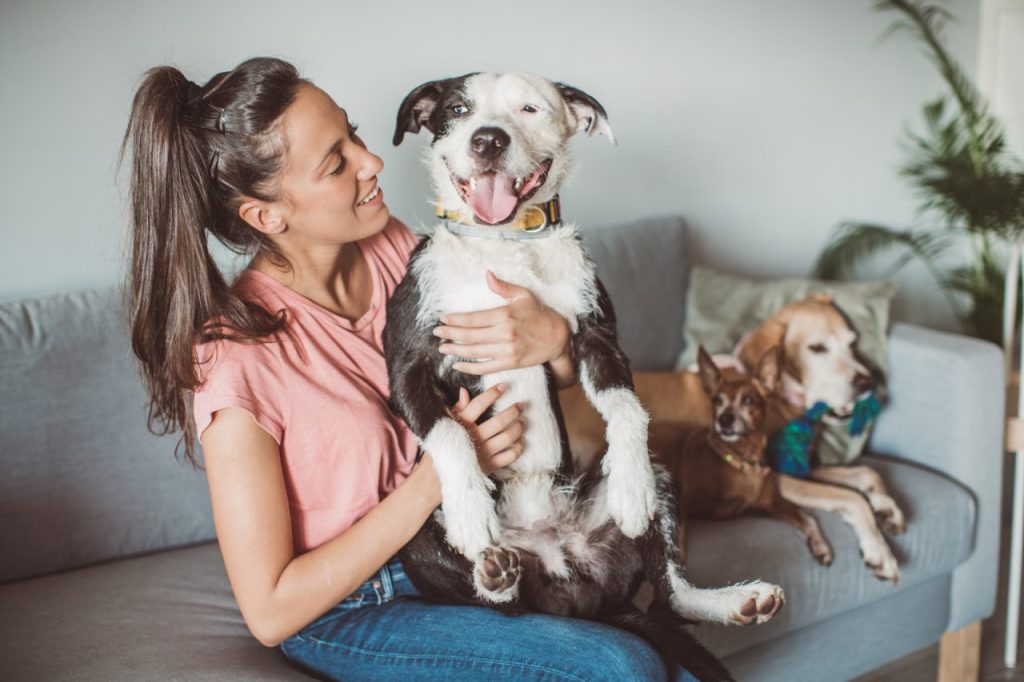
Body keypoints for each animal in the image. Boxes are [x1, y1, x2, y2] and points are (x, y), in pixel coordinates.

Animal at [385, 71, 782, 675]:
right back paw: (493, 572)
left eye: (530, 108)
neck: (502, 243)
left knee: (671, 598)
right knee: (505, 607)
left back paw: (737, 600)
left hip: (658, 491)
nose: (488, 140)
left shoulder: (597, 341)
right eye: (457, 109)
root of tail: (573, 587)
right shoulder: (407, 361)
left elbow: (627, 408)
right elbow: (450, 434)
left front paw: (632, 486)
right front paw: (472, 516)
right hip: (413, 535)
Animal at [671, 346, 831, 561]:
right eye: (717, 400)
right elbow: (678, 534)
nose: (724, 420)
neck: (742, 461)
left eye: (749, 400)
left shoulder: (770, 504)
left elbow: (808, 517)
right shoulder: (684, 502)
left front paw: (821, 545)